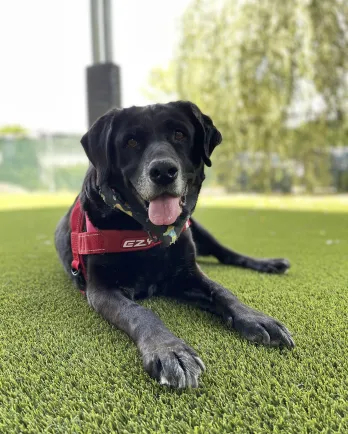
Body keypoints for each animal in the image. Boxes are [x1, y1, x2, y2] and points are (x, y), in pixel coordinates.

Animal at [55, 102, 294, 390]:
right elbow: (140, 312)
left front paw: (255, 317)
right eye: (131, 141)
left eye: (179, 134)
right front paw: (170, 351)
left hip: (197, 227)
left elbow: (223, 291)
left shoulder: (188, 273)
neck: (145, 233)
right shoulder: (101, 290)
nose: (163, 172)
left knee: (225, 253)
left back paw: (269, 263)